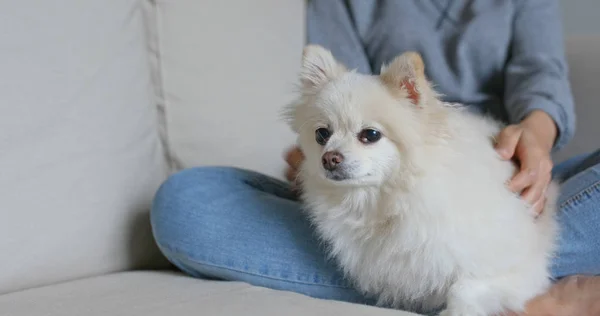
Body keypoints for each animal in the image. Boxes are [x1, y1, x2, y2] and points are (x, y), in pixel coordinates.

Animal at [284, 45, 560, 316]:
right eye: (322, 134)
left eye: (370, 135)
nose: (329, 158)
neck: (390, 202)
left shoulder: (520, 268)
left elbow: (462, 290)